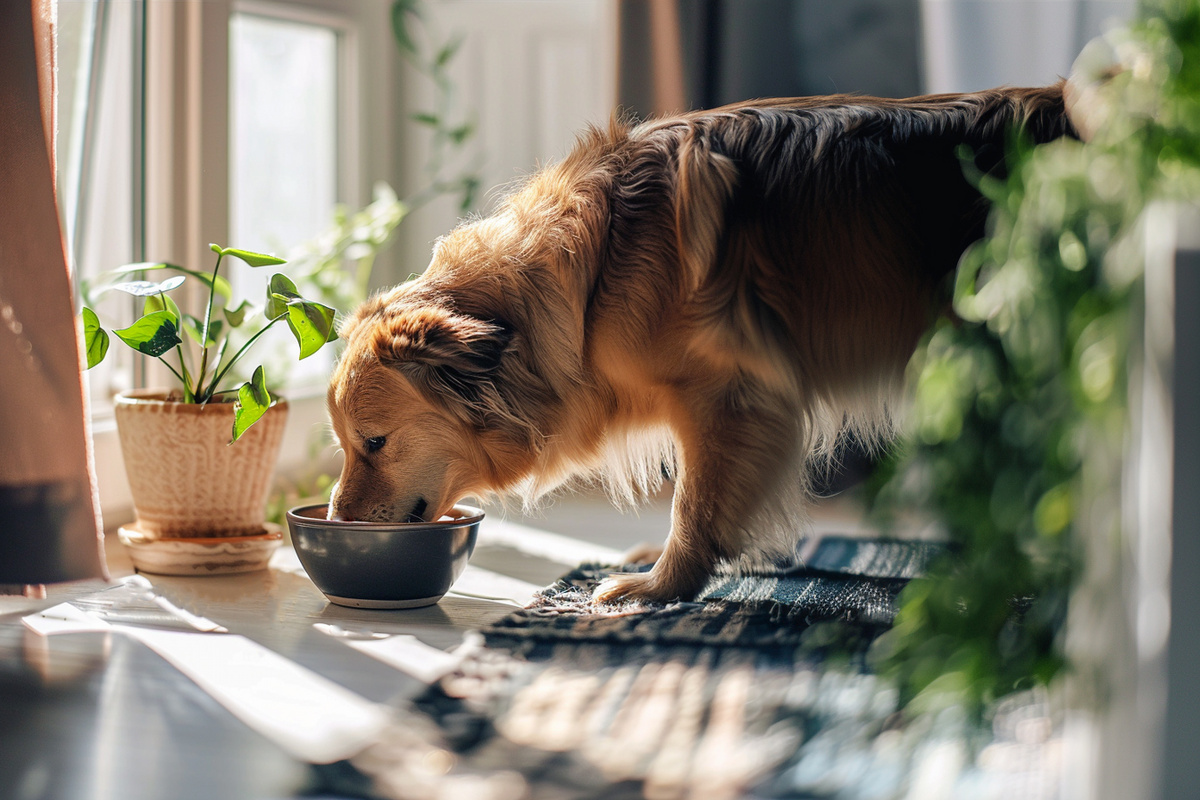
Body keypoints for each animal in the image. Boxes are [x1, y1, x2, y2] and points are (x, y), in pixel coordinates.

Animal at [324, 84, 1075, 604]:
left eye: (374, 442)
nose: (337, 521)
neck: (592, 275)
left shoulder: (730, 394)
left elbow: (695, 500)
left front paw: (661, 587)